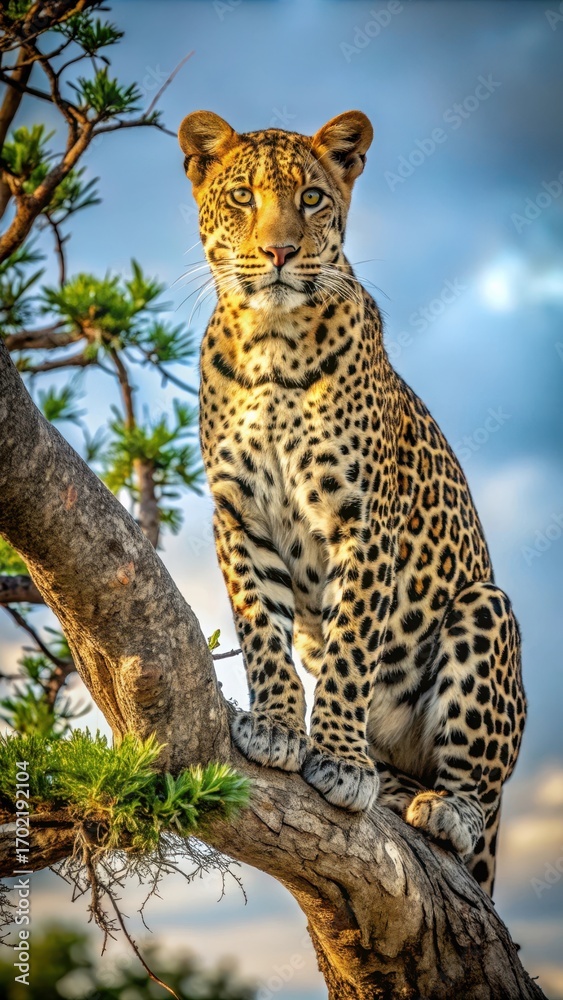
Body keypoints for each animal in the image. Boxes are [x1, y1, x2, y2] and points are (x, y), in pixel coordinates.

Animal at [178, 109, 526, 896]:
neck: (271, 341)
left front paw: (336, 757)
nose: (279, 251)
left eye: (310, 198)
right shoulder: (239, 515)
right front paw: (278, 726)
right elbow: (262, 632)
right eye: (242, 196)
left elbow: (351, 650)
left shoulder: (362, 520)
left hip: (484, 611)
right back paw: (391, 786)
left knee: (478, 792)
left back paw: (440, 807)